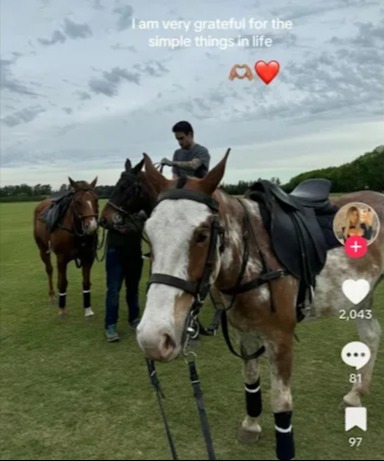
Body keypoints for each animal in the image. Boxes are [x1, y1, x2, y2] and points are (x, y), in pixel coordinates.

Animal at [33, 177, 99, 316]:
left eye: (96, 199)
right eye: (78, 202)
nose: (91, 226)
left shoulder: (88, 257)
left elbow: (86, 282)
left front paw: (88, 310)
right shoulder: (62, 258)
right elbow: (63, 283)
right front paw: (62, 310)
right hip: (43, 249)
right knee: (49, 269)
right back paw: (52, 295)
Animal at [136, 154, 382, 460]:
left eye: (202, 234)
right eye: (148, 234)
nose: (152, 339)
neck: (250, 260)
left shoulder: (281, 338)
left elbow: (281, 401)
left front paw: (285, 448)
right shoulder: (245, 333)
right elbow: (251, 382)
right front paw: (251, 425)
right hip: (361, 295)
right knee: (371, 335)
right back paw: (355, 393)